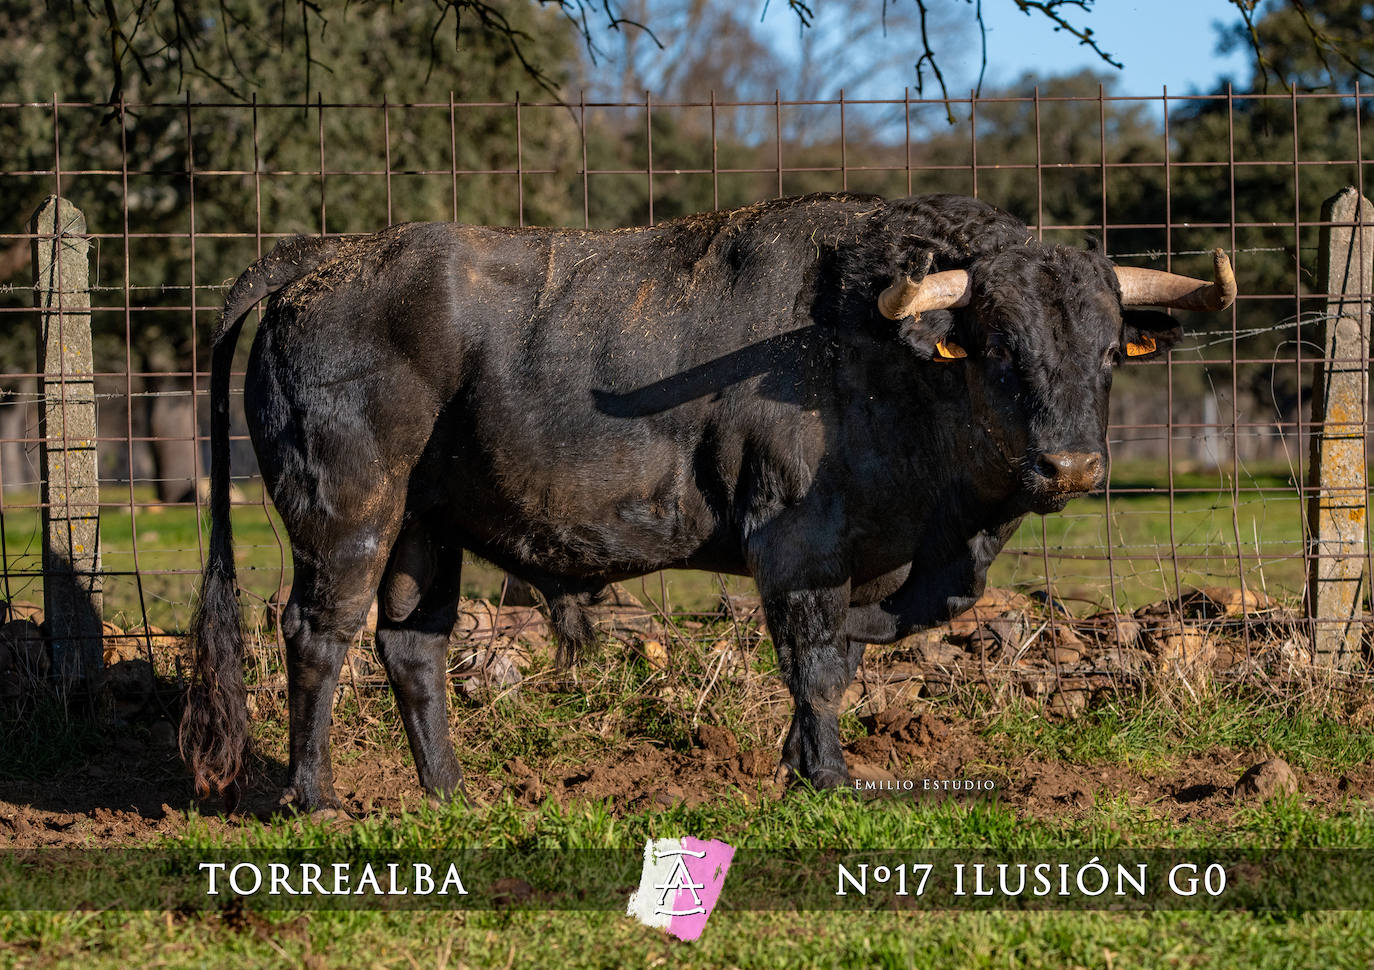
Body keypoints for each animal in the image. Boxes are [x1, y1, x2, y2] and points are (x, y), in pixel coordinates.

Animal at [182, 190, 1236, 807]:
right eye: (1001, 348)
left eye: (1107, 350)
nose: (1072, 466)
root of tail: (324, 260)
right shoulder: (798, 554)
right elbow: (816, 668)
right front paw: (828, 778)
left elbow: (841, 664)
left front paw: (801, 765)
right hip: (350, 517)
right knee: (318, 635)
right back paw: (312, 797)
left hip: (424, 531)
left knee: (411, 647)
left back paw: (451, 793)